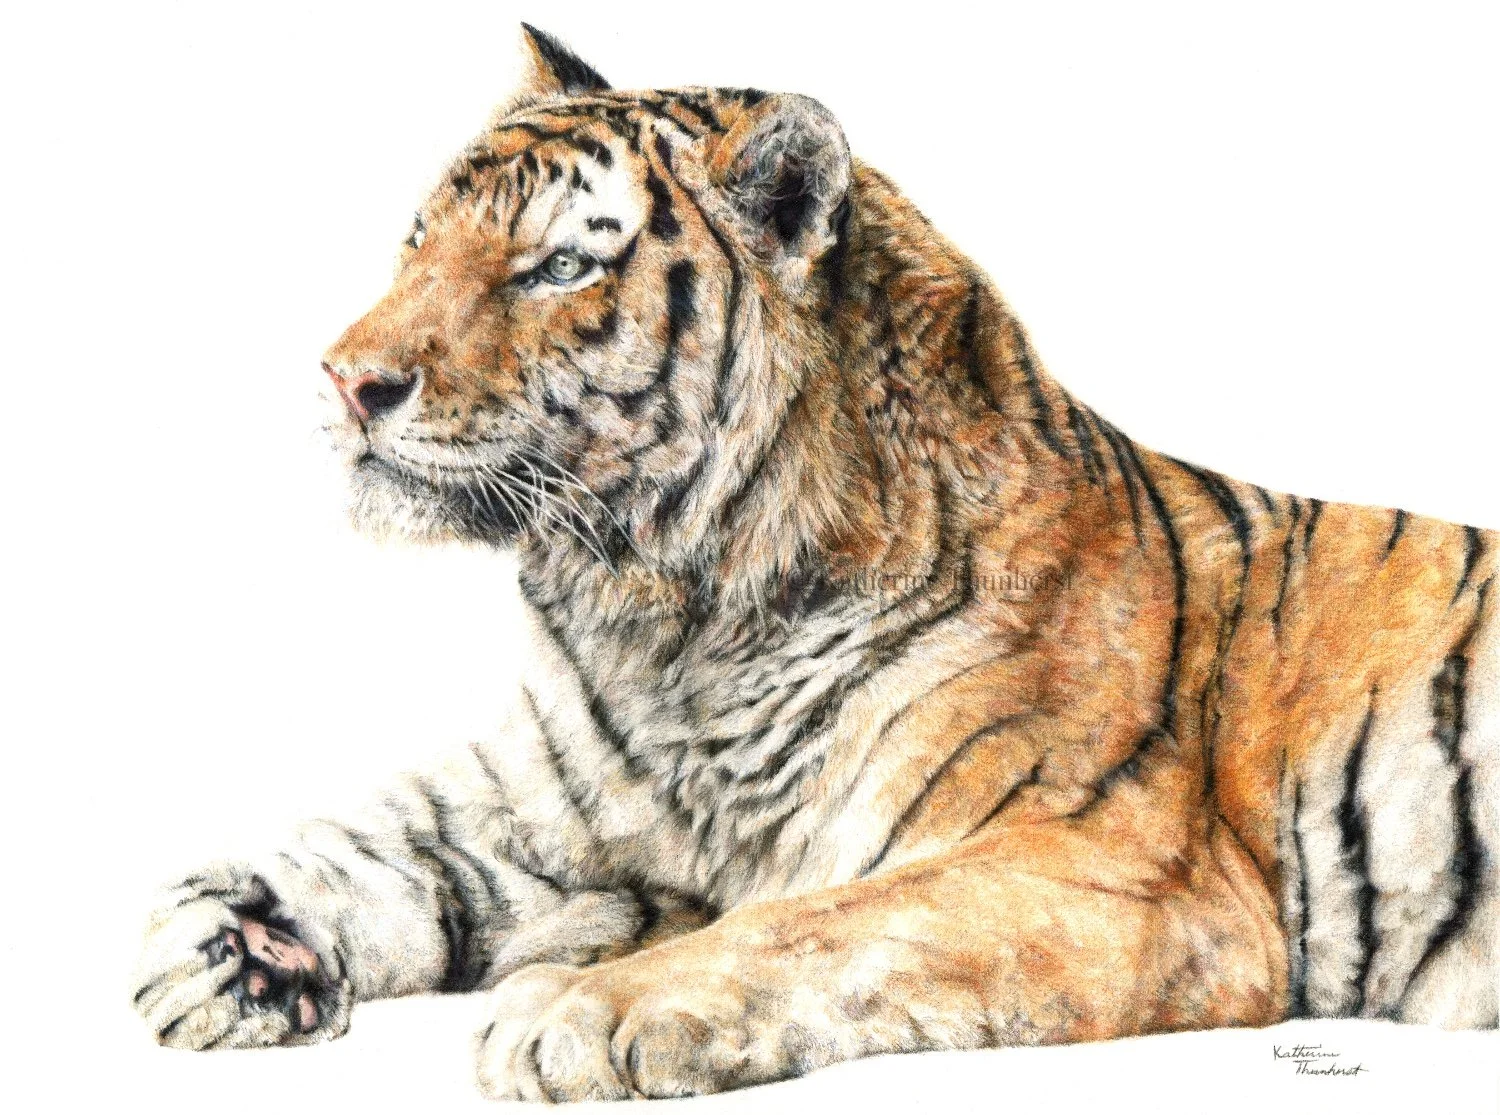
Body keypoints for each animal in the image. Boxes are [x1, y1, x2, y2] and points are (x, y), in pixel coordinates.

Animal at [131, 24, 1497, 1100]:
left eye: (559, 266)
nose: (346, 380)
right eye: (415, 244)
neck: (661, 612)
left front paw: (577, 1009)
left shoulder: (1112, 867)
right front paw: (223, 935)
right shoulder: (552, 808)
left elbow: (815, 923)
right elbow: (396, 841)